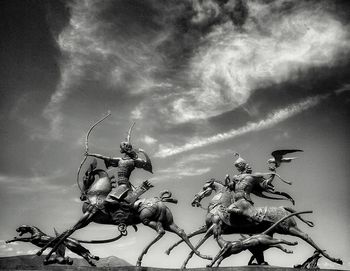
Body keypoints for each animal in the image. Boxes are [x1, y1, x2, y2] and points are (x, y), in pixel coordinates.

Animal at [36, 169, 211, 266]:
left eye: (86, 178)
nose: (82, 196)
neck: (97, 194)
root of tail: (160, 200)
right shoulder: (88, 218)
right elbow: (67, 232)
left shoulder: (88, 217)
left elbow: (68, 231)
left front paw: (45, 256)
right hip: (168, 222)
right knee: (180, 232)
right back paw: (202, 255)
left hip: (147, 220)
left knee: (160, 231)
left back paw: (140, 259)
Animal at [166, 178, 342, 270]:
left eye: (204, 188)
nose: (194, 201)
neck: (219, 206)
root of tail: (282, 207)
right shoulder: (207, 228)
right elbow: (188, 236)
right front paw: (170, 249)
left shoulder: (214, 228)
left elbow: (197, 242)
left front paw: (187, 262)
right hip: (272, 233)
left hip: (289, 228)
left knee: (306, 236)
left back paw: (333, 259)